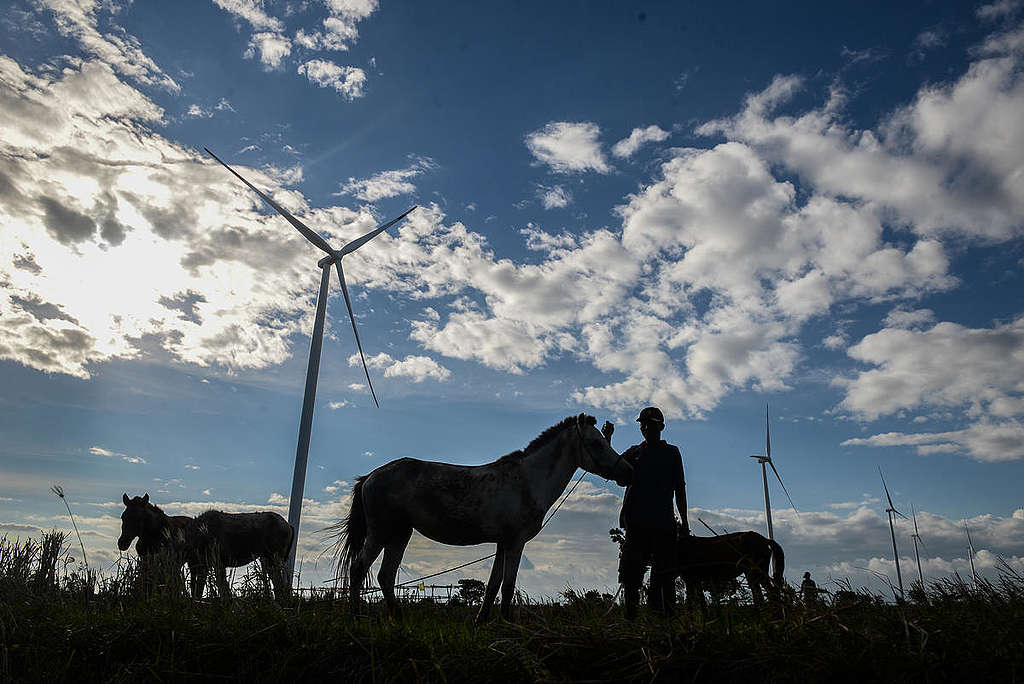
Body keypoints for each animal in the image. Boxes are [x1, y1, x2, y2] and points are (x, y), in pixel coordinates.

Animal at [120, 491, 296, 597]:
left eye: (139, 519)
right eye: (123, 517)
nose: (122, 543)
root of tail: (289, 526)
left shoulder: (212, 563)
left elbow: (213, 591)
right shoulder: (203, 565)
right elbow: (199, 591)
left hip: (273, 559)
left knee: (280, 586)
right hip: (267, 559)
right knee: (278, 586)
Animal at [327, 413, 630, 622]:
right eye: (595, 443)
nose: (627, 472)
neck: (527, 481)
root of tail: (371, 476)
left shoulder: (502, 543)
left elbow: (494, 585)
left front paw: (481, 621)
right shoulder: (515, 542)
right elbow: (507, 586)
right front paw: (508, 623)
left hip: (400, 534)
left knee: (385, 576)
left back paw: (398, 618)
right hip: (380, 532)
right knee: (359, 568)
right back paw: (355, 617)